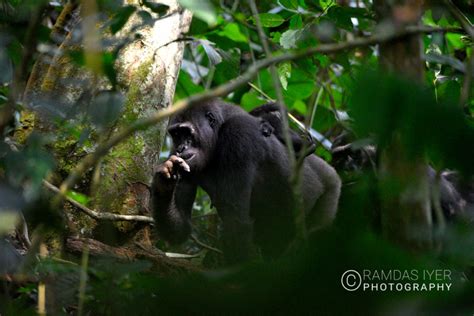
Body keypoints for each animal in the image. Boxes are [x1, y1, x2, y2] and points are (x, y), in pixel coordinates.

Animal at [150, 100, 338, 262]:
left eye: (187, 132)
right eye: (176, 134)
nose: (181, 148)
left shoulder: (239, 133)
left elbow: (236, 221)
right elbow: (181, 228)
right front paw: (163, 183)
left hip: (330, 189)